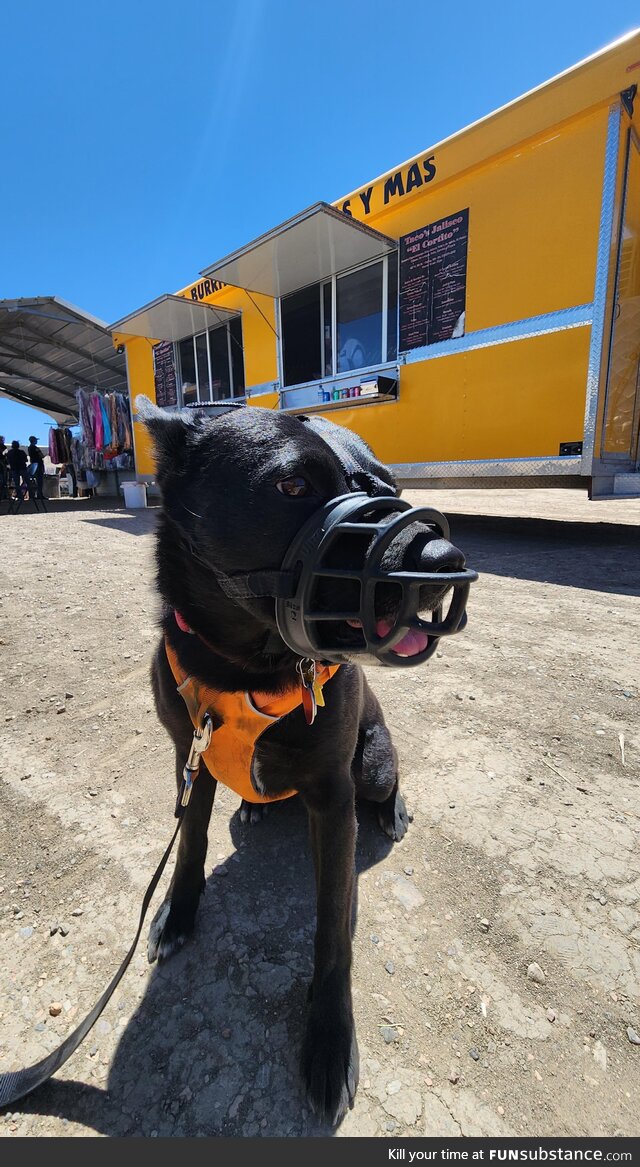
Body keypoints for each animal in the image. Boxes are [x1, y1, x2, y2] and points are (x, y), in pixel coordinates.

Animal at [140, 399, 467, 1120]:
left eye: (389, 486)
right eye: (292, 486)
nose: (444, 558)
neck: (244, 672)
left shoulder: (334, 797)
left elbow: (331, 931)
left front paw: (329, 1038)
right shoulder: (188, 759)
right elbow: (191, 844)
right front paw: (178, 912)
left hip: (373, 762)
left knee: (388, 780)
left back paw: (394, 810)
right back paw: (255, 810)